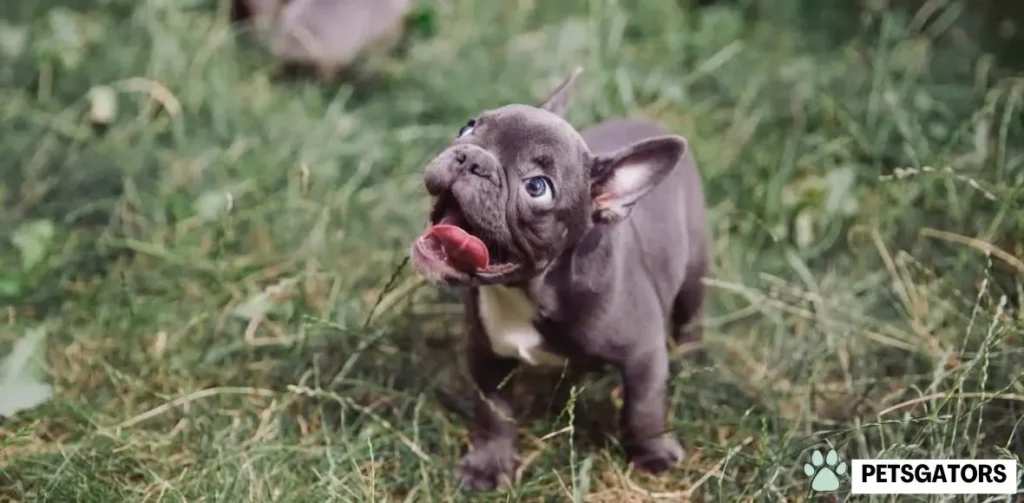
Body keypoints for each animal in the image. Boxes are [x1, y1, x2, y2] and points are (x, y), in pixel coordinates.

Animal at [411, 67, 708, 491]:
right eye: (468, 127)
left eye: (537, 187)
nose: (472, 158)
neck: (528, 292)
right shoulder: (486, 353)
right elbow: (495, 412)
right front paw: (488, 465)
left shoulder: (644, 351)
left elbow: (644, 406)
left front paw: (654, 453)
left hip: (695, 271)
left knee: (690, 316)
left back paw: (687, 357)